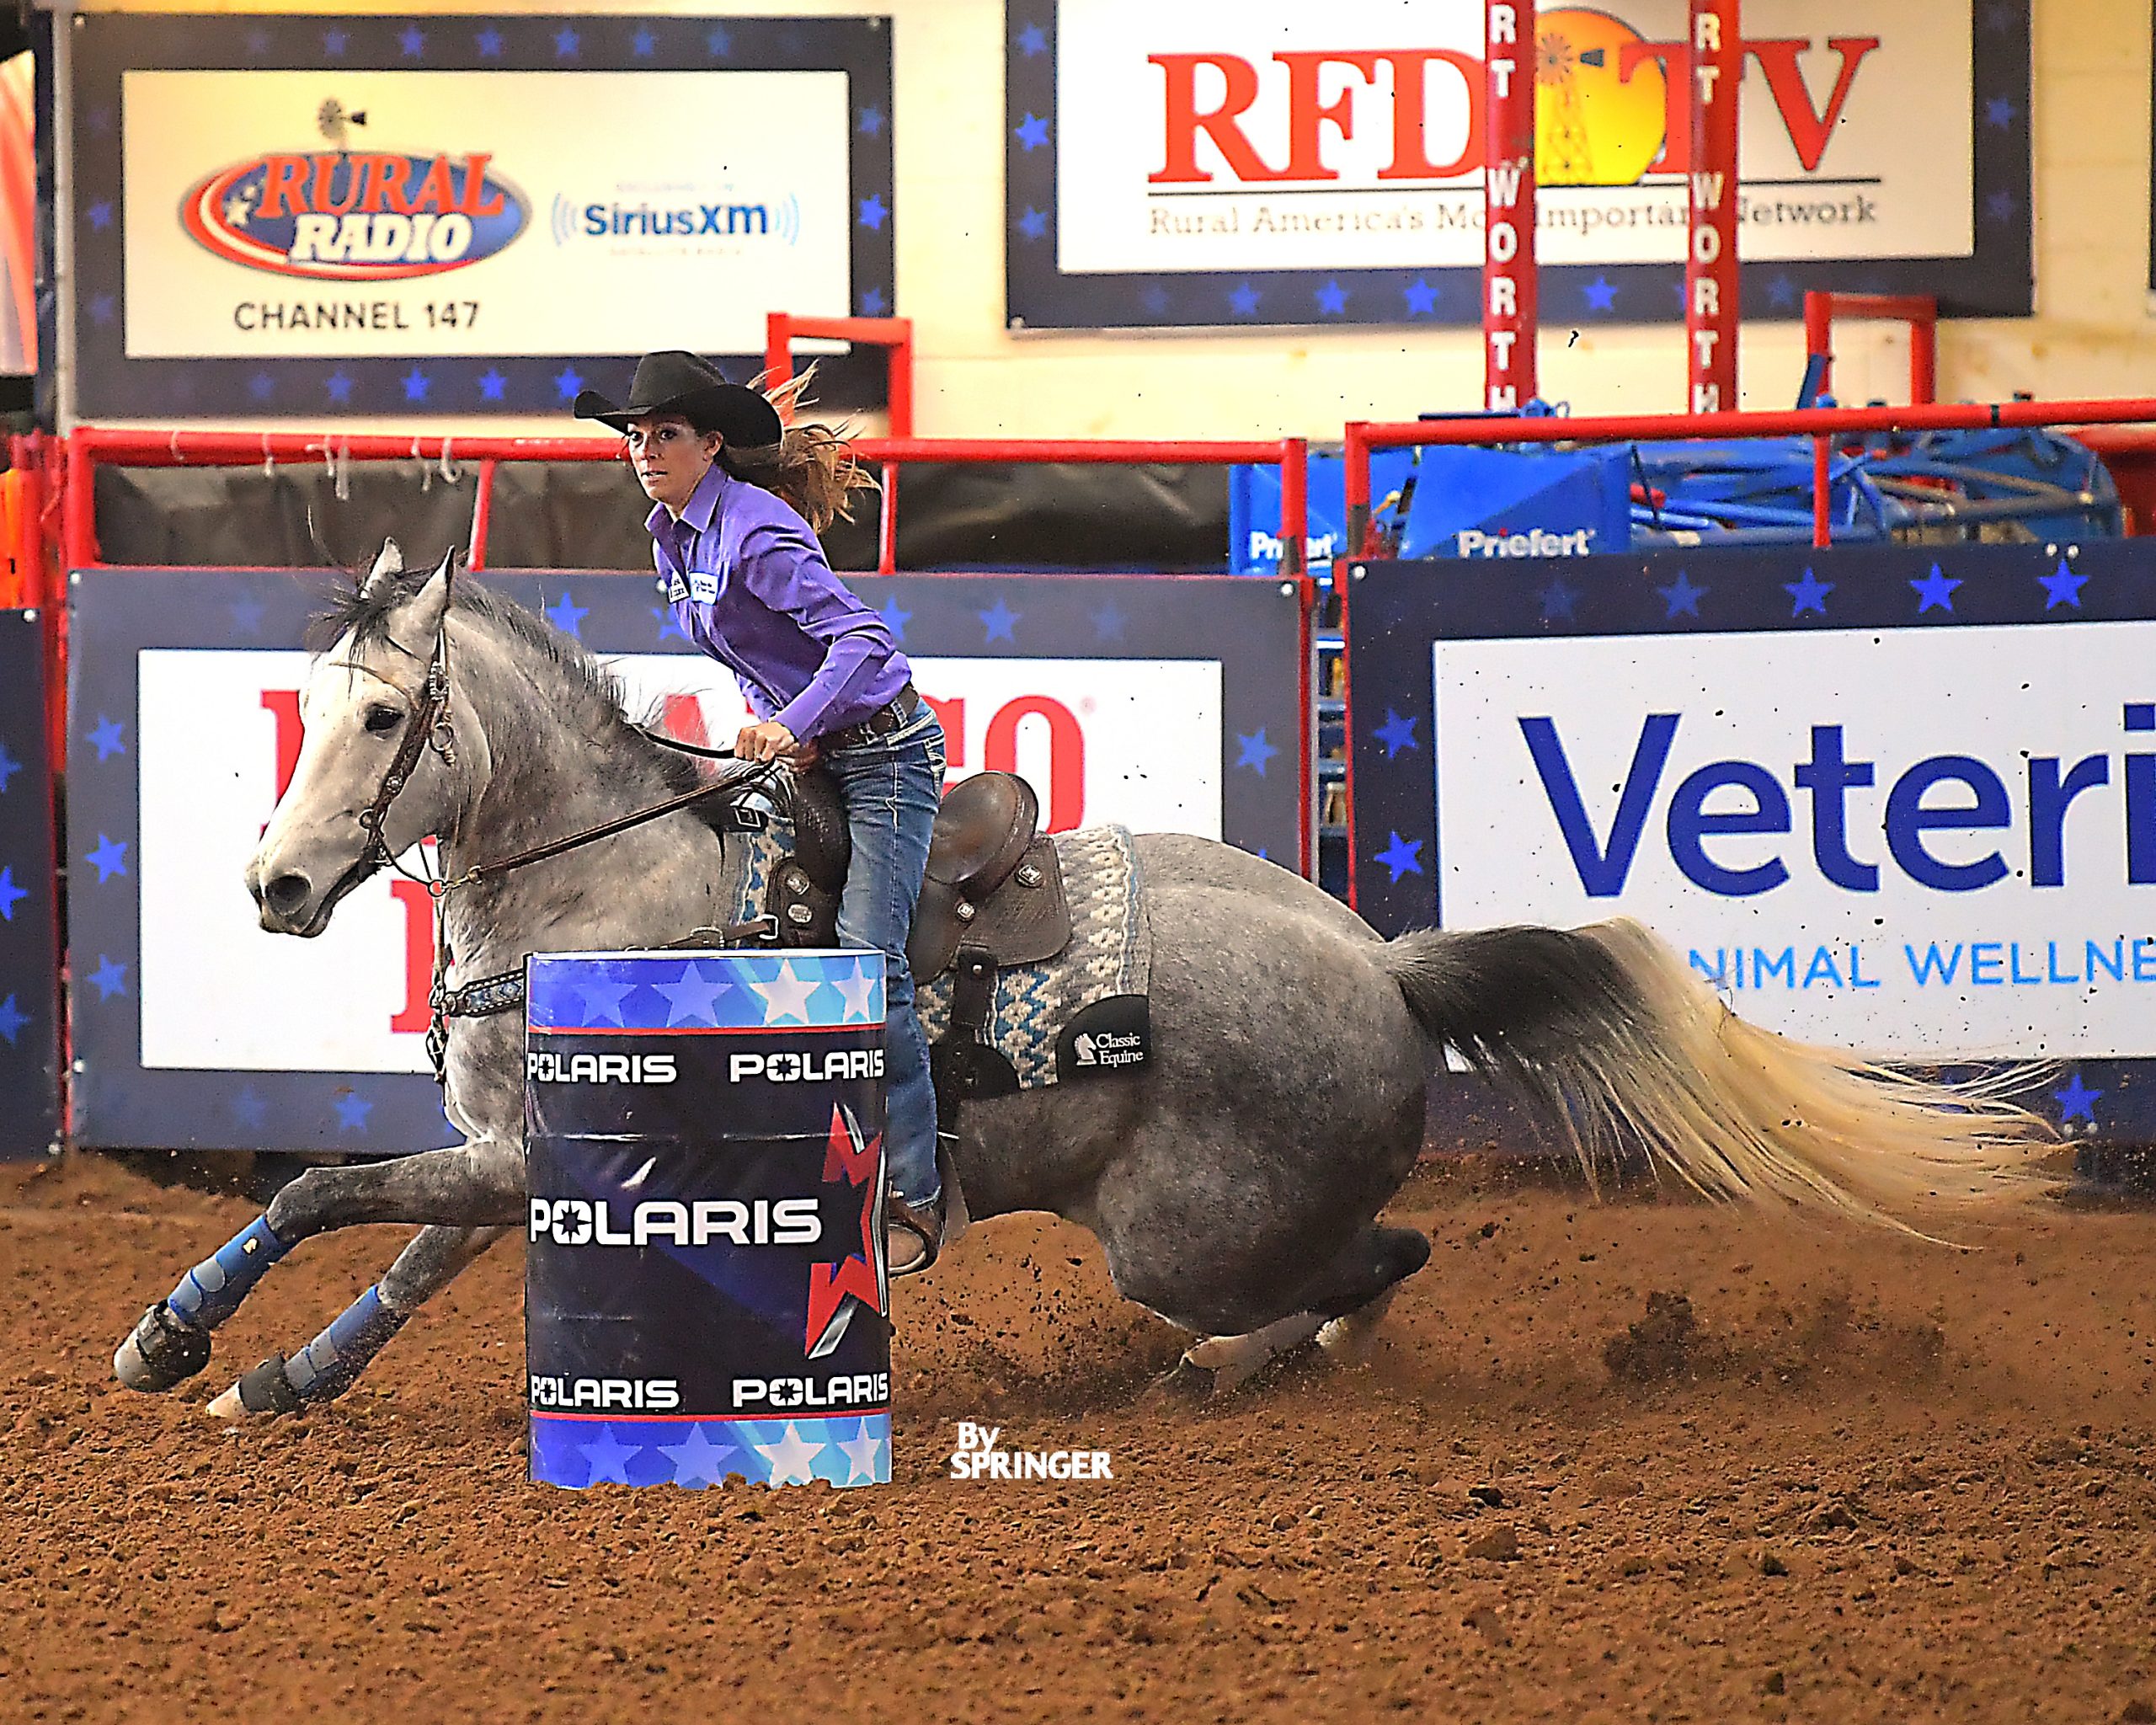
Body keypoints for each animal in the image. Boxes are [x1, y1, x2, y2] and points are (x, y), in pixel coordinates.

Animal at [112, 546, 2050, 1417]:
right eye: (305, 703)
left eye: (385, 716)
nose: (277, 883)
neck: (613, 884)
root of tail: (1386, 962)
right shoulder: (518, 1160)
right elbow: (398, 1247)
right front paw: (264, 1374)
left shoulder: (539, 1157)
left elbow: (321, 1192)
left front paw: (179, 1339)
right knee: (1380, 1261)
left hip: (1179, 1235)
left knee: (1380, 1255)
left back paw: (1237, 1368)